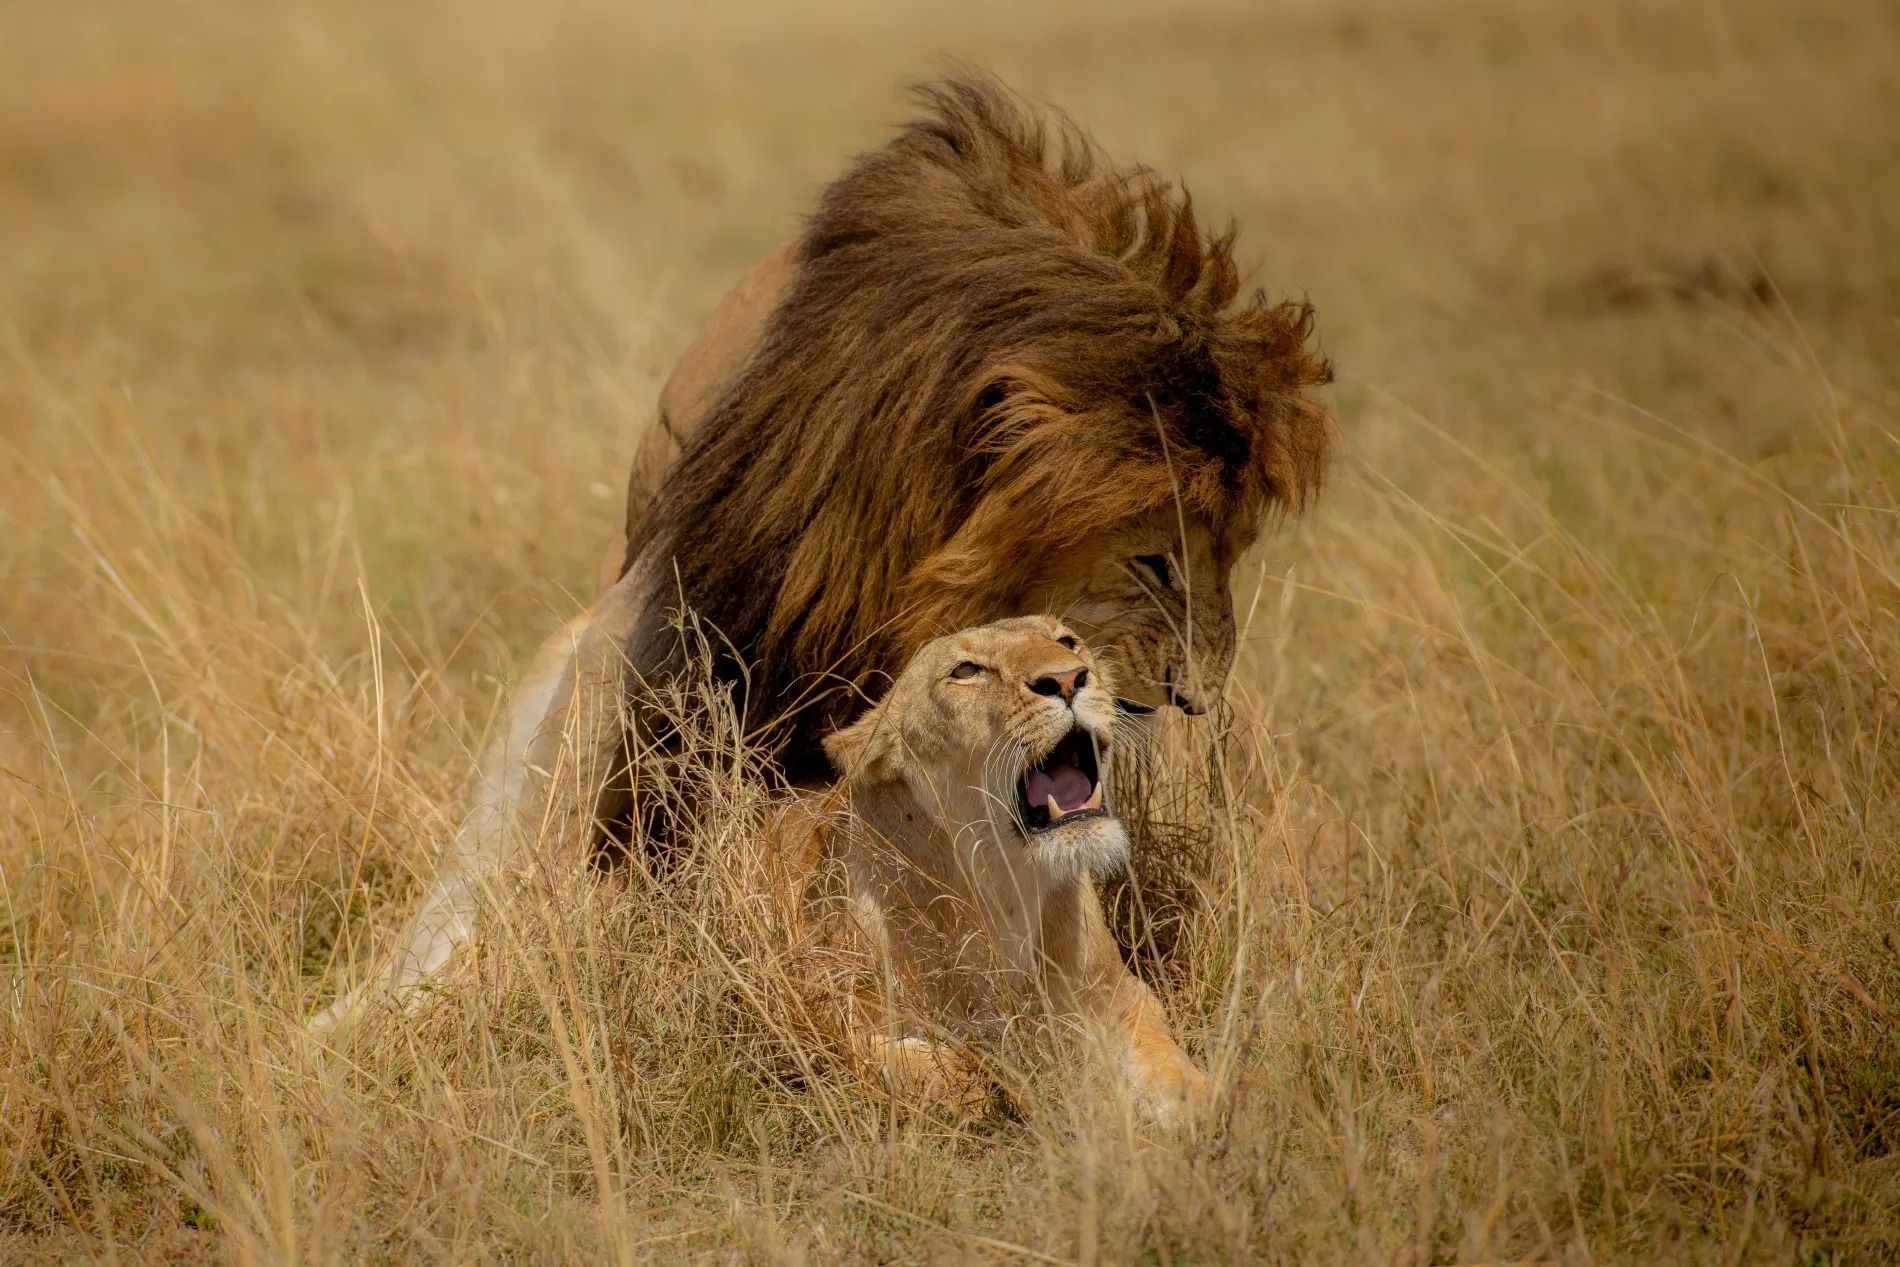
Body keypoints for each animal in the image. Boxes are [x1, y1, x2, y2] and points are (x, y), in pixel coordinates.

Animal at [813, 619, 1200, 1124]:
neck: (1004, 885)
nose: (1067, 679)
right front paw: (983, 1084)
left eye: (1067, 641)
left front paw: (1203, 1103)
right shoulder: (822, 1011)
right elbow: (892, 1060)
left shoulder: (1118, 993)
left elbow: (1160, 1052)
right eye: (967, 670)